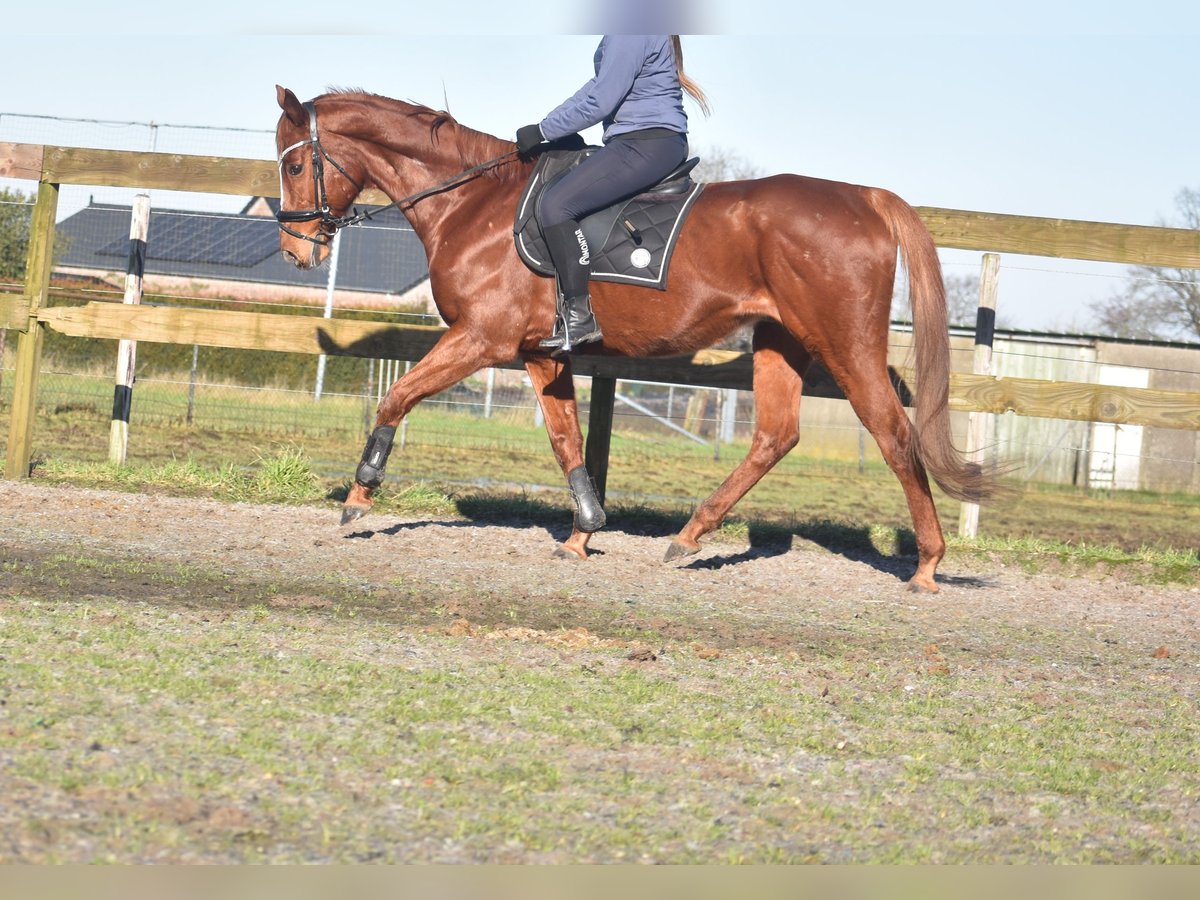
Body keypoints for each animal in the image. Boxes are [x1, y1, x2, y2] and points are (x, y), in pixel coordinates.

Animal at [274, 82, 993, 592]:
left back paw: (927, 565)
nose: (297, 250)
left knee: (892, 433)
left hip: (844, 343)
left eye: (297, 164)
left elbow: (398, 397)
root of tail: (864, 197)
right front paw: (584, 532)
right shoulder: (540, 354)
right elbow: (566, 441)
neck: (475, 204)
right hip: (779, 341)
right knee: (775, 435)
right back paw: (690, 535)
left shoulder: (482, 339)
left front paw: (359, 496)